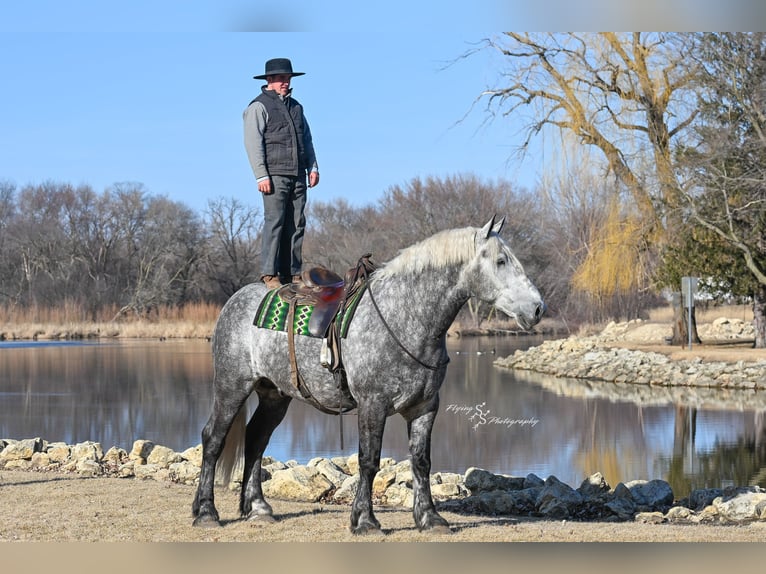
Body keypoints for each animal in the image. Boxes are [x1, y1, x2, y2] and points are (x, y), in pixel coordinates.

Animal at [191, 216, 545, 534]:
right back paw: (206, 512)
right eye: (500, 260)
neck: (403, 315)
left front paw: (429, 518)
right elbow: (369, 460)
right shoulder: (373, 405)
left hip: (274, 395)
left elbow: (421, 461)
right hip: (231, 387)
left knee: (255, 439)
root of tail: (235, 301)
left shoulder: (425, 407)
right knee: (214, 439)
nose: (538, 308)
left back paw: (259, 508)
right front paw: (364, 520)